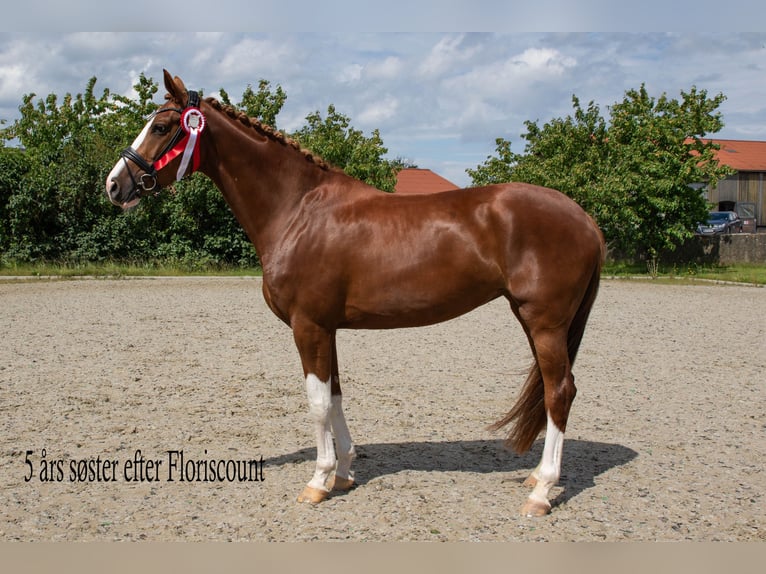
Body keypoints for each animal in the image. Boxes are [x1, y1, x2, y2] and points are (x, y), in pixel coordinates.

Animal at [105, 71, 608, 516]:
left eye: (162, 126)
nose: (114, 185)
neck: (298, 209)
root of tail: (584, 218)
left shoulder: (308, 326)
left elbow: (316, 401)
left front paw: (317, 481)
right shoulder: (327, 328)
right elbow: (335, 395)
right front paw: (344, 473)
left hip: (544, 322)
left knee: (559, 391)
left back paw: (541, 492)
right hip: (532, 320)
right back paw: (535, 477)